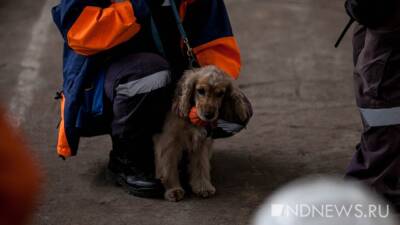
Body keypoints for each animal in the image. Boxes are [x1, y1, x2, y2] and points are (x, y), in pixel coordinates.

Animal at [155, 64, 248, 201]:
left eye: (220, 93)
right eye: (200, 90)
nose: (209, 115)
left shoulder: (201, 140)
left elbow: (201, 164)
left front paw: (203, 187)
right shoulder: (169, 141)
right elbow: (168, 166)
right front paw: (173, 190)